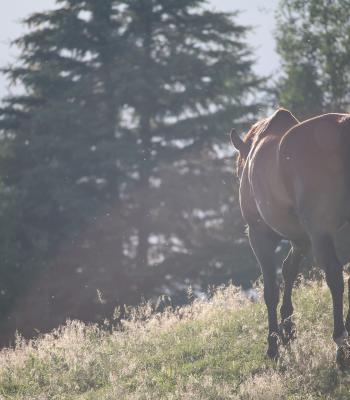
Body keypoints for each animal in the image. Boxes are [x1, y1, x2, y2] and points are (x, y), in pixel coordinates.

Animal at [231, 108, 350, 368]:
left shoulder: (259, 236)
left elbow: (270, 289)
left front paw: (273, 343)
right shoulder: (301, 240)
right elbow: (289, 270)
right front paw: (287, 329)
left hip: (320, 232)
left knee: (334, 277)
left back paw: (340, 343)